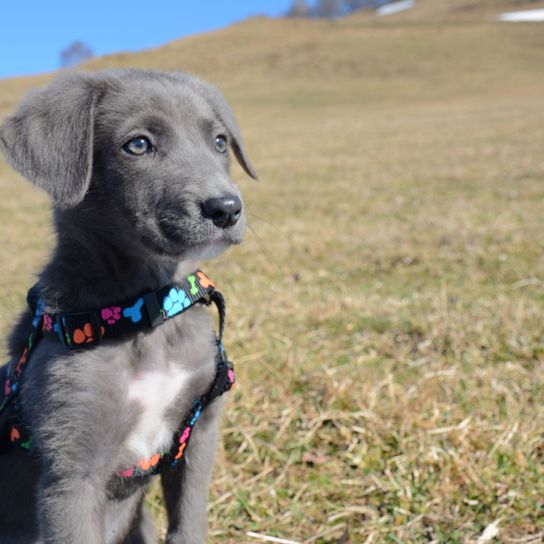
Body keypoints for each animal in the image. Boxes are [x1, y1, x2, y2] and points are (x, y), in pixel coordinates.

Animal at [0, 69, 258, 544]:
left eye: (219, 142)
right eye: (137, 145)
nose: (227, 208)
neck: (144, 311)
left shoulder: (200, 429)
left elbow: (189, 521)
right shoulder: (71, 474)